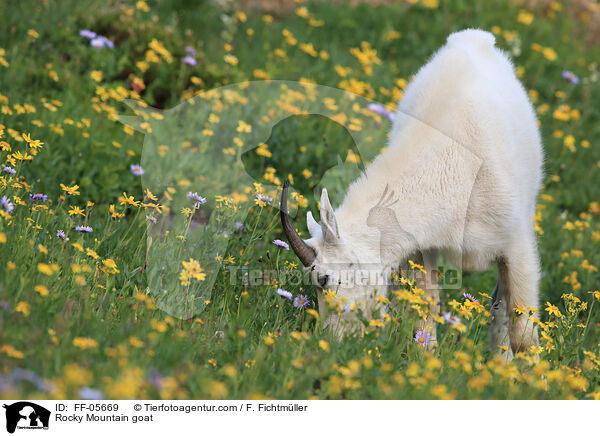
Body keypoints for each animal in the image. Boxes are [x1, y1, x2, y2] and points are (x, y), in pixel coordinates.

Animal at [282, 29, 544, 356]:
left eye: (324, 279)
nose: (332, 340)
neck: (453, 165)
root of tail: (475, 38)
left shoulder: (516, 245)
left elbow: (523, 333)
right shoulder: (422, 247)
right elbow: (425, 311)